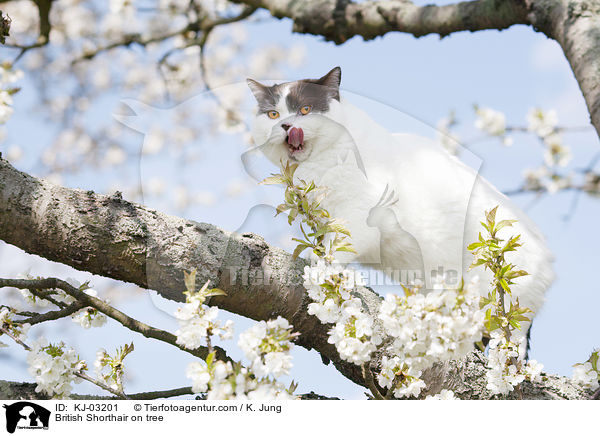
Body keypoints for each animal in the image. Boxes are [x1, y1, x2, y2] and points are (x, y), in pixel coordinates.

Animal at [247, 67, 552, 340]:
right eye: (273, 114)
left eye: (306, 109)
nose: (286, 125)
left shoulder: (361, 213)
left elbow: (340, 243)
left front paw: (322, 262)